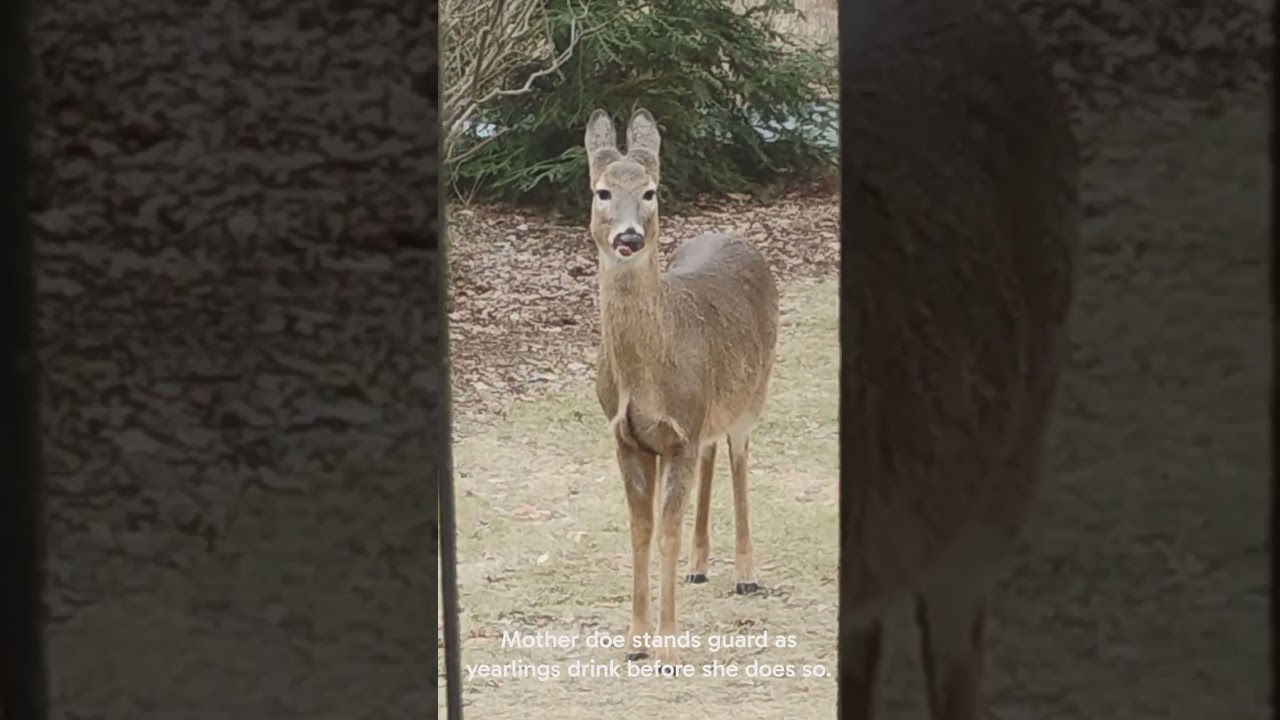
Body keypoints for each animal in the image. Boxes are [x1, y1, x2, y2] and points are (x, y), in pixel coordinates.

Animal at [583, 108, 780, 667]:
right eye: (602, 191)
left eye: (651, 191)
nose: (628, 237)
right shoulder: (627, 437)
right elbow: (641, 531)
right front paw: (634, 642)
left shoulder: (679, 434)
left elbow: (665, 532)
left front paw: (668, 646)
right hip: (708, 412)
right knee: (714, 453)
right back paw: (700, 565)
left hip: (754, 390)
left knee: (738, 457)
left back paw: (745, 575)